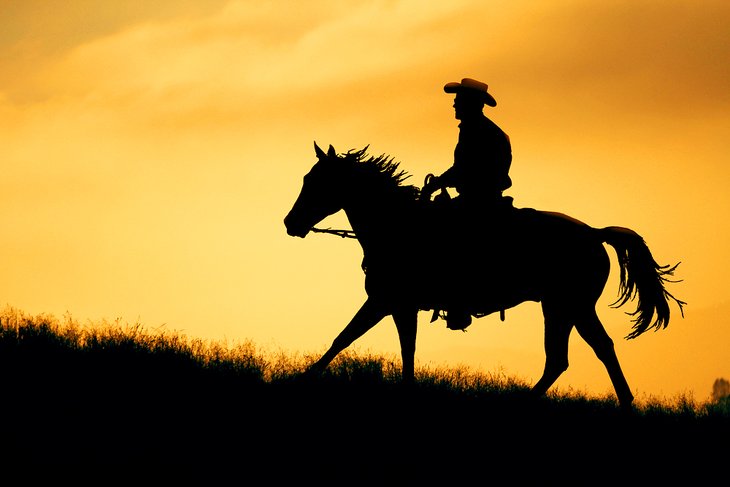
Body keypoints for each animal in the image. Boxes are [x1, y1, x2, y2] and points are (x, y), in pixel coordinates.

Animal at [282, 142, 684, 408]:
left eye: (317, 182)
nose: (290, 223)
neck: (398, 227)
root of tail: (594, 233)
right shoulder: (394, 305)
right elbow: (379, 345)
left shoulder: (388, 302)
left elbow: (352, 340)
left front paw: (300, 382)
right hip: (564, 308)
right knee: (575, 355)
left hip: (569, 306)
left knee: (583, 352)